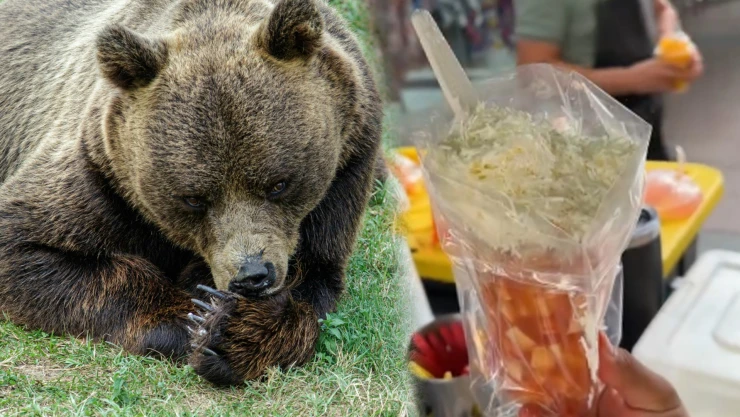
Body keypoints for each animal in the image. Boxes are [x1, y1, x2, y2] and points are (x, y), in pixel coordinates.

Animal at [0, 0, 384, 386]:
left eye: (278, 184)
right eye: (194, 198)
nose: (252, 276)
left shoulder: (346, 169)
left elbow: (314, 275)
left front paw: (235, 332)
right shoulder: (101, 175)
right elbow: (27, 245)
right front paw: (197, 320)